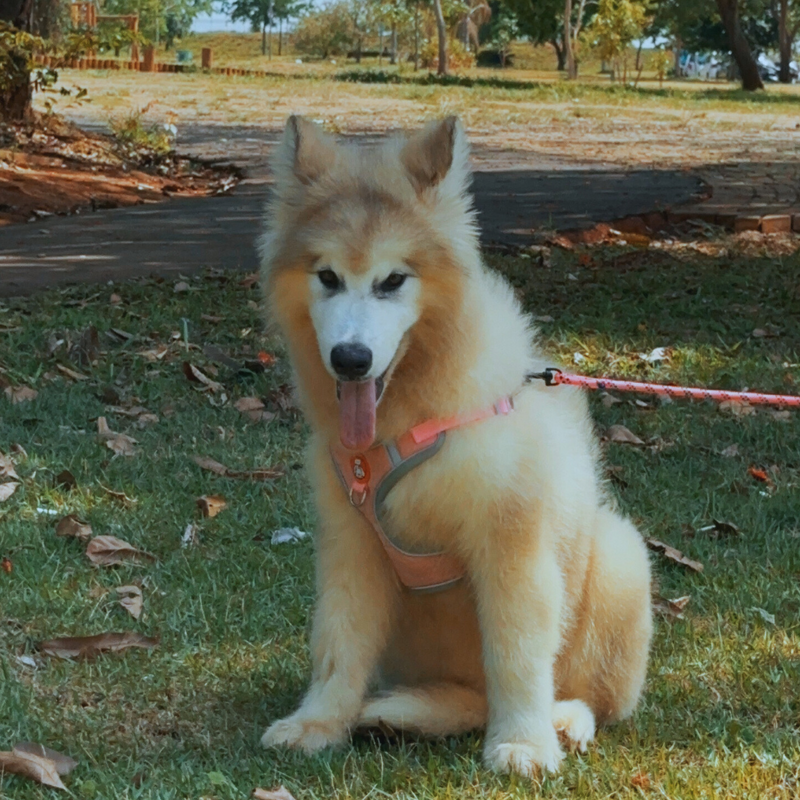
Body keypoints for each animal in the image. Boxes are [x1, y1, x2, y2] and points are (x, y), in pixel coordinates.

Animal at [260, 115, 652, 780]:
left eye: (393, 280)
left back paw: (562, 720)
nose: (351, 359)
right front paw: (318, 723)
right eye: (328, 277)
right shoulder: (350, 542)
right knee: (466, 700)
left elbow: (518, 654)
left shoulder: (514, 542)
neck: (409, 420)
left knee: (585, 696)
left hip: (622, 558)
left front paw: (523, 743)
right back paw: (403, 712)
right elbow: (338, 640)